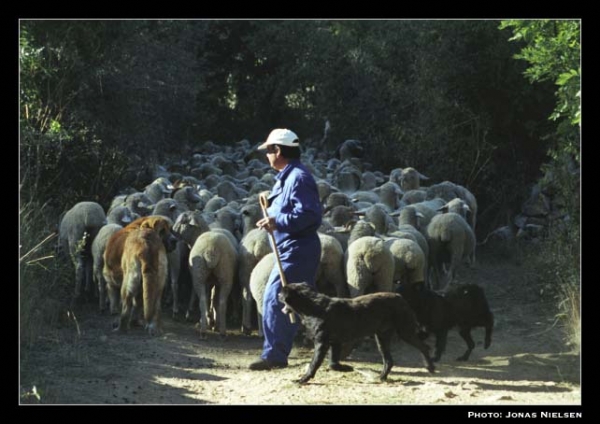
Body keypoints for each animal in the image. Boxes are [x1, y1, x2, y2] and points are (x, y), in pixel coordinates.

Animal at [278, 282, 434, 384]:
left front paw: (302, 379)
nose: (277, 295)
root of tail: (400, 296)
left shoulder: (322, 343)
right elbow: (333, 363)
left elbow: (314, 364)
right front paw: (345, 368)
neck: (313, 306)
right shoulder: (334, 342)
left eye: (281, 291)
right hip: (381, 338)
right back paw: (382, 377)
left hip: (405, 331)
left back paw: (430, 366)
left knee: (424, 347)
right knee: (389, 360)